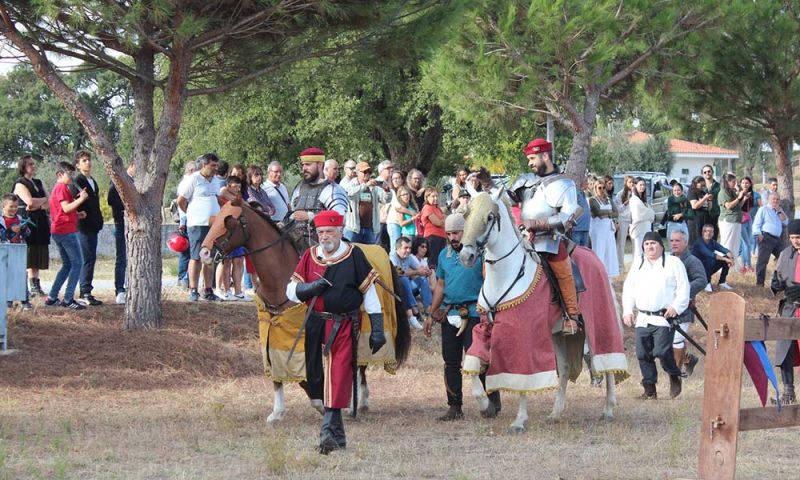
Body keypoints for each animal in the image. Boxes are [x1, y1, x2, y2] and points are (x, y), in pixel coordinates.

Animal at [200, 201, 412, 422]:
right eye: (215, 219)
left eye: (228, 222)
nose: (204, 253)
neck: (277, 276)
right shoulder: (273, 329)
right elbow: (278, 370)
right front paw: (277, 412)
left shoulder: (300, 333)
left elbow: (307, 376)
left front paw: (320, 402)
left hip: (365, 328)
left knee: (359, 363)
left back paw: (359, 401)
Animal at [460, 189, 628, 434]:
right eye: (466, 213)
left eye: (490, 217)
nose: (466, 256)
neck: (506, 276)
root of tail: (594, 257)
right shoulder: (485, 327)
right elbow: (473, 363)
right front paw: (485, 406)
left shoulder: (524, 336)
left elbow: (522, 377)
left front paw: (519, 420)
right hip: (560, 334)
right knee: (566, 367)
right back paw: (555, 413)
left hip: (599, 319)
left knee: (604, 360)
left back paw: (608, 408)